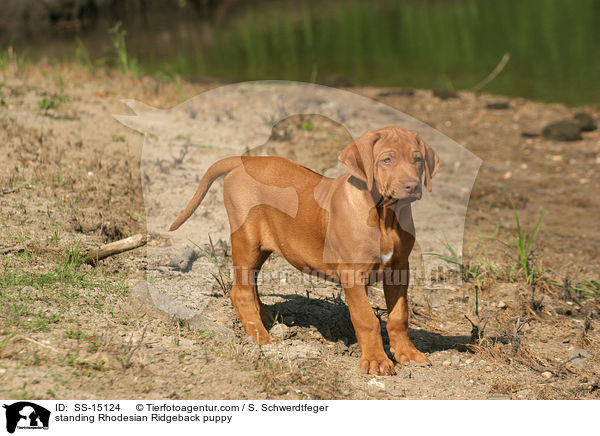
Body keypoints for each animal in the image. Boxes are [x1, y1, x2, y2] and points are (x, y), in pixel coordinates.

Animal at [171, 126, 438, 374]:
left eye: (417, 159)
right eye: (387, 160)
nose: (412, 186)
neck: (385, 217)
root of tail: (247, 161)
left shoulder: (399, 269)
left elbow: (399, 316)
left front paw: (407, 354)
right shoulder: (352, 274)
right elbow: (366, 319)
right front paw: (376, 361)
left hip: (261, 246)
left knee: (249, 283)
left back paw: (264, 315)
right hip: (246, 240)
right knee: (240, 291)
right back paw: (260, 336)